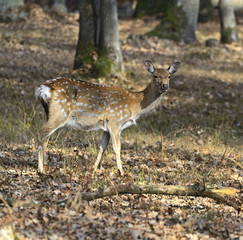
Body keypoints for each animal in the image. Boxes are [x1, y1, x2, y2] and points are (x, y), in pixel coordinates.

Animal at [35, 60, 180, 174]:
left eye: (169, 76)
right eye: (155, 76)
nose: (165, 86)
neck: (135, 104)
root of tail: (44, 88)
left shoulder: (106, 127)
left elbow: (102, 147)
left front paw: (93, 169)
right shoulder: (115, 122)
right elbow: (117, 148)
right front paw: (121, 171)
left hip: (50, 114)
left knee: (46, 137)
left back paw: (44, 166)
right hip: (60, 113)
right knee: (41, 133)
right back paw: (41, 169)